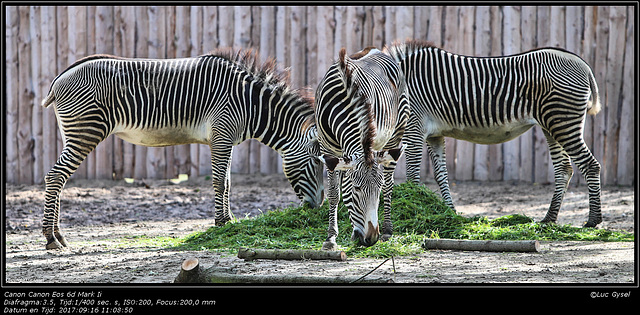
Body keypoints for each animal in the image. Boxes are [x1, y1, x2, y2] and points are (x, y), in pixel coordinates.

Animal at [40, 48, 324, 251]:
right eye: (317, 162)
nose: (317, 207)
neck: (250, 103)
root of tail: (60, 77)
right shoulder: (221, 136)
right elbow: (219, 181)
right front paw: (220, 224)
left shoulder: (226, 139)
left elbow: (228, 182)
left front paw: (229, 220)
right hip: (86, 131)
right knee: (55, 176)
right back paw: (51, 238)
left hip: (74, 133)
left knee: (59, 178)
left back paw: (58, 236)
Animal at [316, 47, 410, 251]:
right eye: (356, 189)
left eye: (377, 189)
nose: (372, 238)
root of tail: (375, 50)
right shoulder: (328, 150)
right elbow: (334, 193)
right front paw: (331, 237)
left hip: (394, 137)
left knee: (390, 183)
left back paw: (387, 230)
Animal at [388, 39, 604, 228]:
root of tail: (583, 65)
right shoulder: (434, 135)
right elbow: (441, 175)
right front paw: (448, 212)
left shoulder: (414, 129)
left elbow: (412, 176)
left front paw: (414, 206)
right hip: (552, 126)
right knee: (564, 169)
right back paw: (549, 218)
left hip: (563, 122)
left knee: (590, 165)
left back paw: (593, 220)